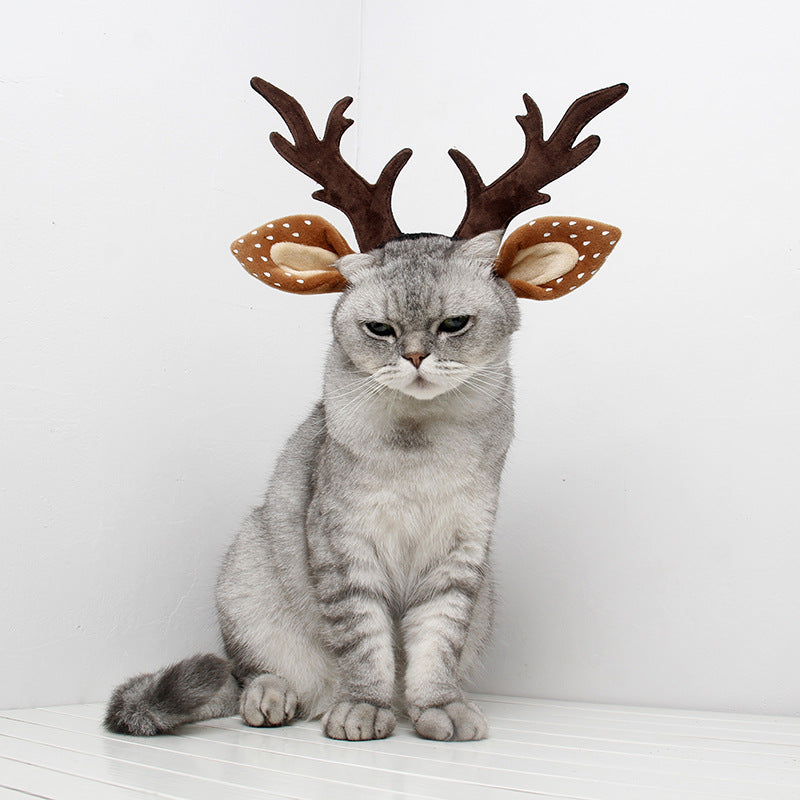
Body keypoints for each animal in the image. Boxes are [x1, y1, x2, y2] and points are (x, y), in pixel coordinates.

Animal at [106, 227, 520, 744]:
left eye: (455, 324)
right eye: (380, 330)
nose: (415, 357)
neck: (420, 440)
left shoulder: (458, 555)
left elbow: (435, 647)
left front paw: (440, 707)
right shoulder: (343, 546)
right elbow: (365, 646)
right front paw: (363, 709)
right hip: (248, 570)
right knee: (249, 676)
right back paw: (274, 699)